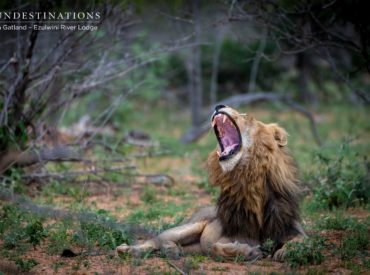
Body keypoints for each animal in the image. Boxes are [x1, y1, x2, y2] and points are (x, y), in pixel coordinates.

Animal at [116, 104, 306, 262]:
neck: (250, 179)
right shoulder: (223, 237)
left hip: (193, 248)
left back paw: (170, 250)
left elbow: (300, 242)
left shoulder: (292, 229)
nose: (219, 105)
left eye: (247, 117)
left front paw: (283, 251)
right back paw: (129, 250)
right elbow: (216, 247)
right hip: (187, 228)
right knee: (155, 240)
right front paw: (250, 252)